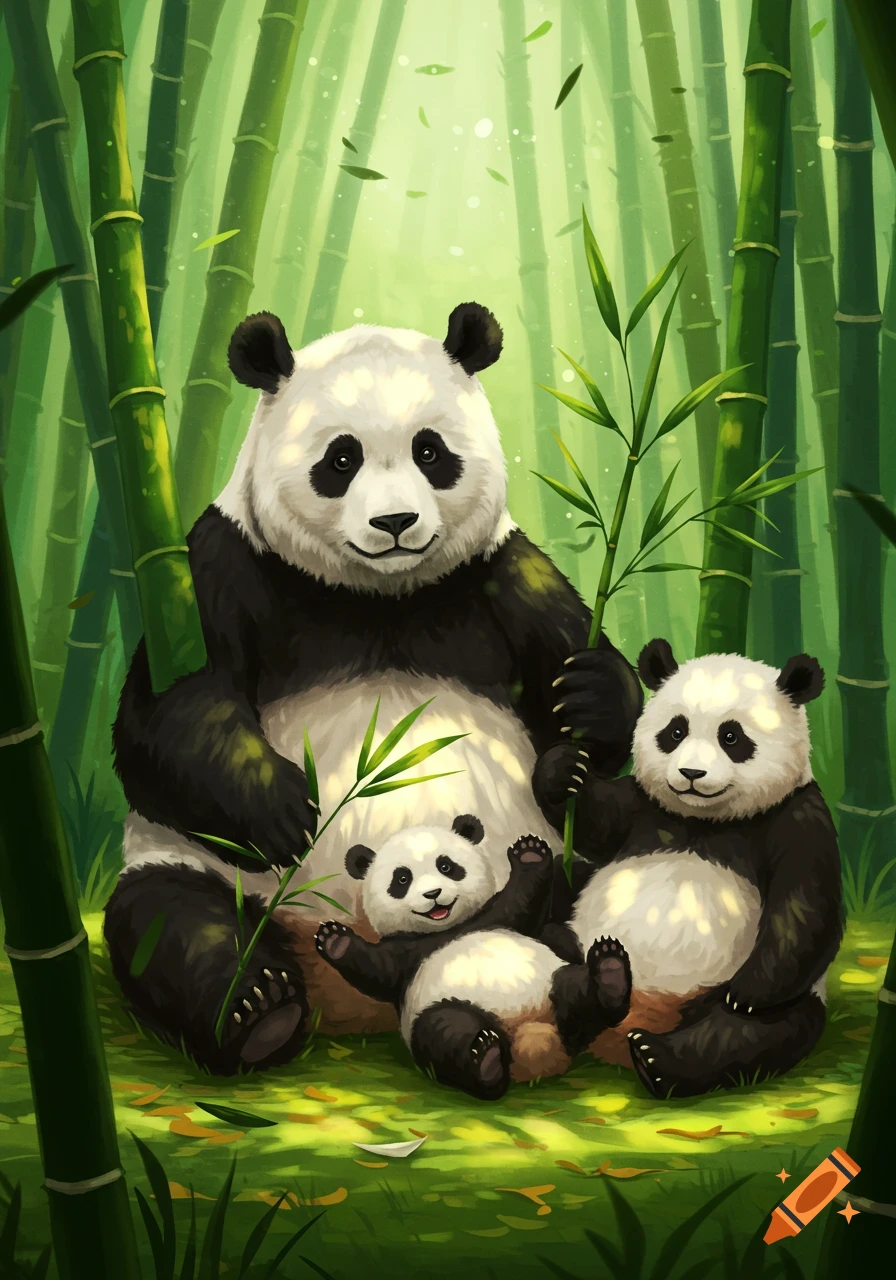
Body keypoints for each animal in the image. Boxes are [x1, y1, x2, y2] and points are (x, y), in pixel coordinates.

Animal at [313, 815, 631, 1100]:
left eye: (446, 866)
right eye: (402, 878)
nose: (433, 893)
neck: (447, 929)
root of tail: (531, 1042)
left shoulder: (493, 917)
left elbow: (521, 903)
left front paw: (529, 853)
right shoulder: (405, 955)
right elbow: (376, 970)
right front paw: (335, 940)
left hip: (553, 984)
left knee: (577, 992)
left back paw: (610, 974)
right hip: (436, 1014)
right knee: (447, 1032)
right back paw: (485, 1061)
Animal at [536, 638, 843, 1099]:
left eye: (731, 736)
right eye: (675, 731)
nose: (691, 773)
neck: (705, 820)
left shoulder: (795, 814)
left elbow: (806, 901)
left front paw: (750, 991)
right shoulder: (644, 805)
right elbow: (597, 820)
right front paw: (562, 767)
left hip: (773, 998)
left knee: (749, 1035)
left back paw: (656, 1058)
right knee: (558, 907)